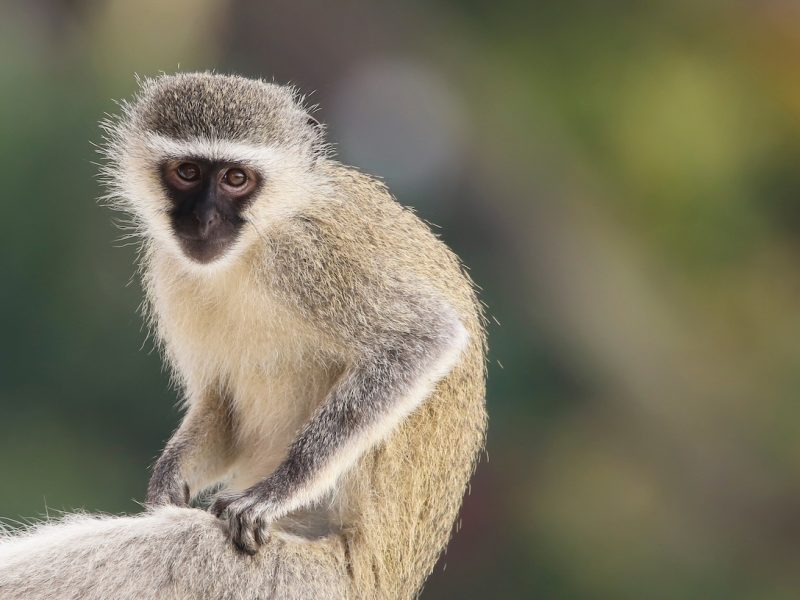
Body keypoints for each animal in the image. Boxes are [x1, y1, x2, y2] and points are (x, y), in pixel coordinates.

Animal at [0, 72, 487, 600]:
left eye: (236, 179)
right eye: (188, 172)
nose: (204, 219)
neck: (254, 244)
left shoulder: (307, 256)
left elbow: (424, 337)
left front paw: (274, 492)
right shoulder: (169, 268)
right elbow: (222, 406)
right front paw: (167, 484)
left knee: (180, 546)